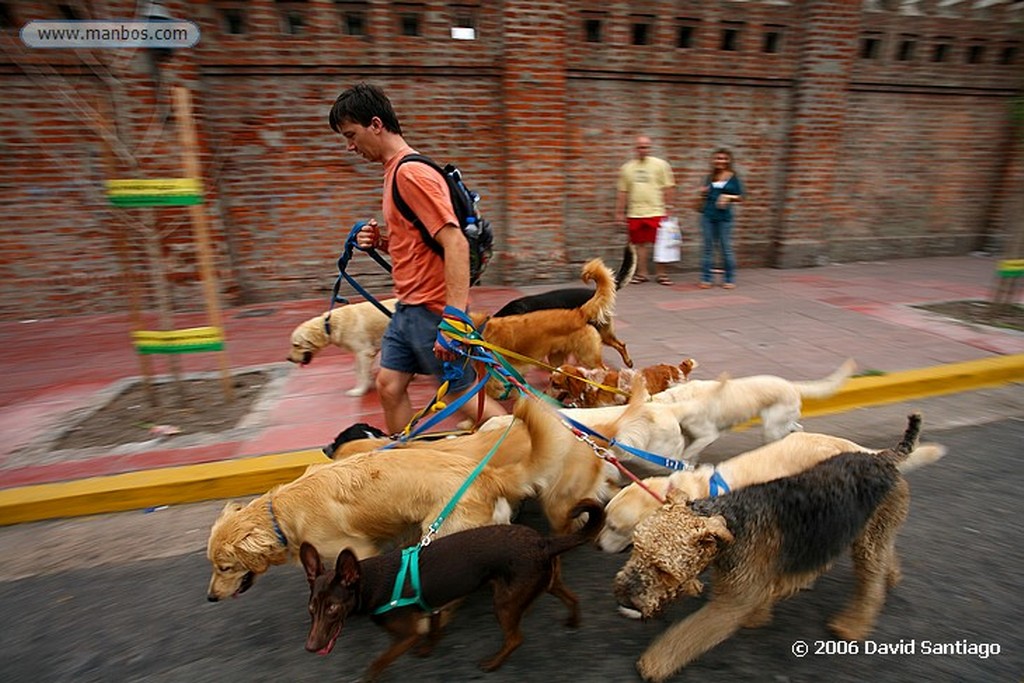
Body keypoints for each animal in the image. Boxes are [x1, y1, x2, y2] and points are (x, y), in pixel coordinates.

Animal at [205, 393, 577, 602]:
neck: (280, 515)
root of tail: (488, 475)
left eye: (225, 567)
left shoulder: (359, 550)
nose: (210, 597)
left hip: (444, 532)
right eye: (215, 566)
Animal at [301, 499, 606, 679]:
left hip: (505, 603)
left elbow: (378, 663)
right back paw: (573, 621)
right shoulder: (433, 607)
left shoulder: (406, 636)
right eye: (312, 608)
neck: (372, 582)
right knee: (572, 598)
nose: (310, 647)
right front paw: (428, 649)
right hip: (545, 583)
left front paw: (370, 676)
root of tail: (544, 543)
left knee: (515, 639)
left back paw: (492, 664)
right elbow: (435, 631)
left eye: (333, 607)